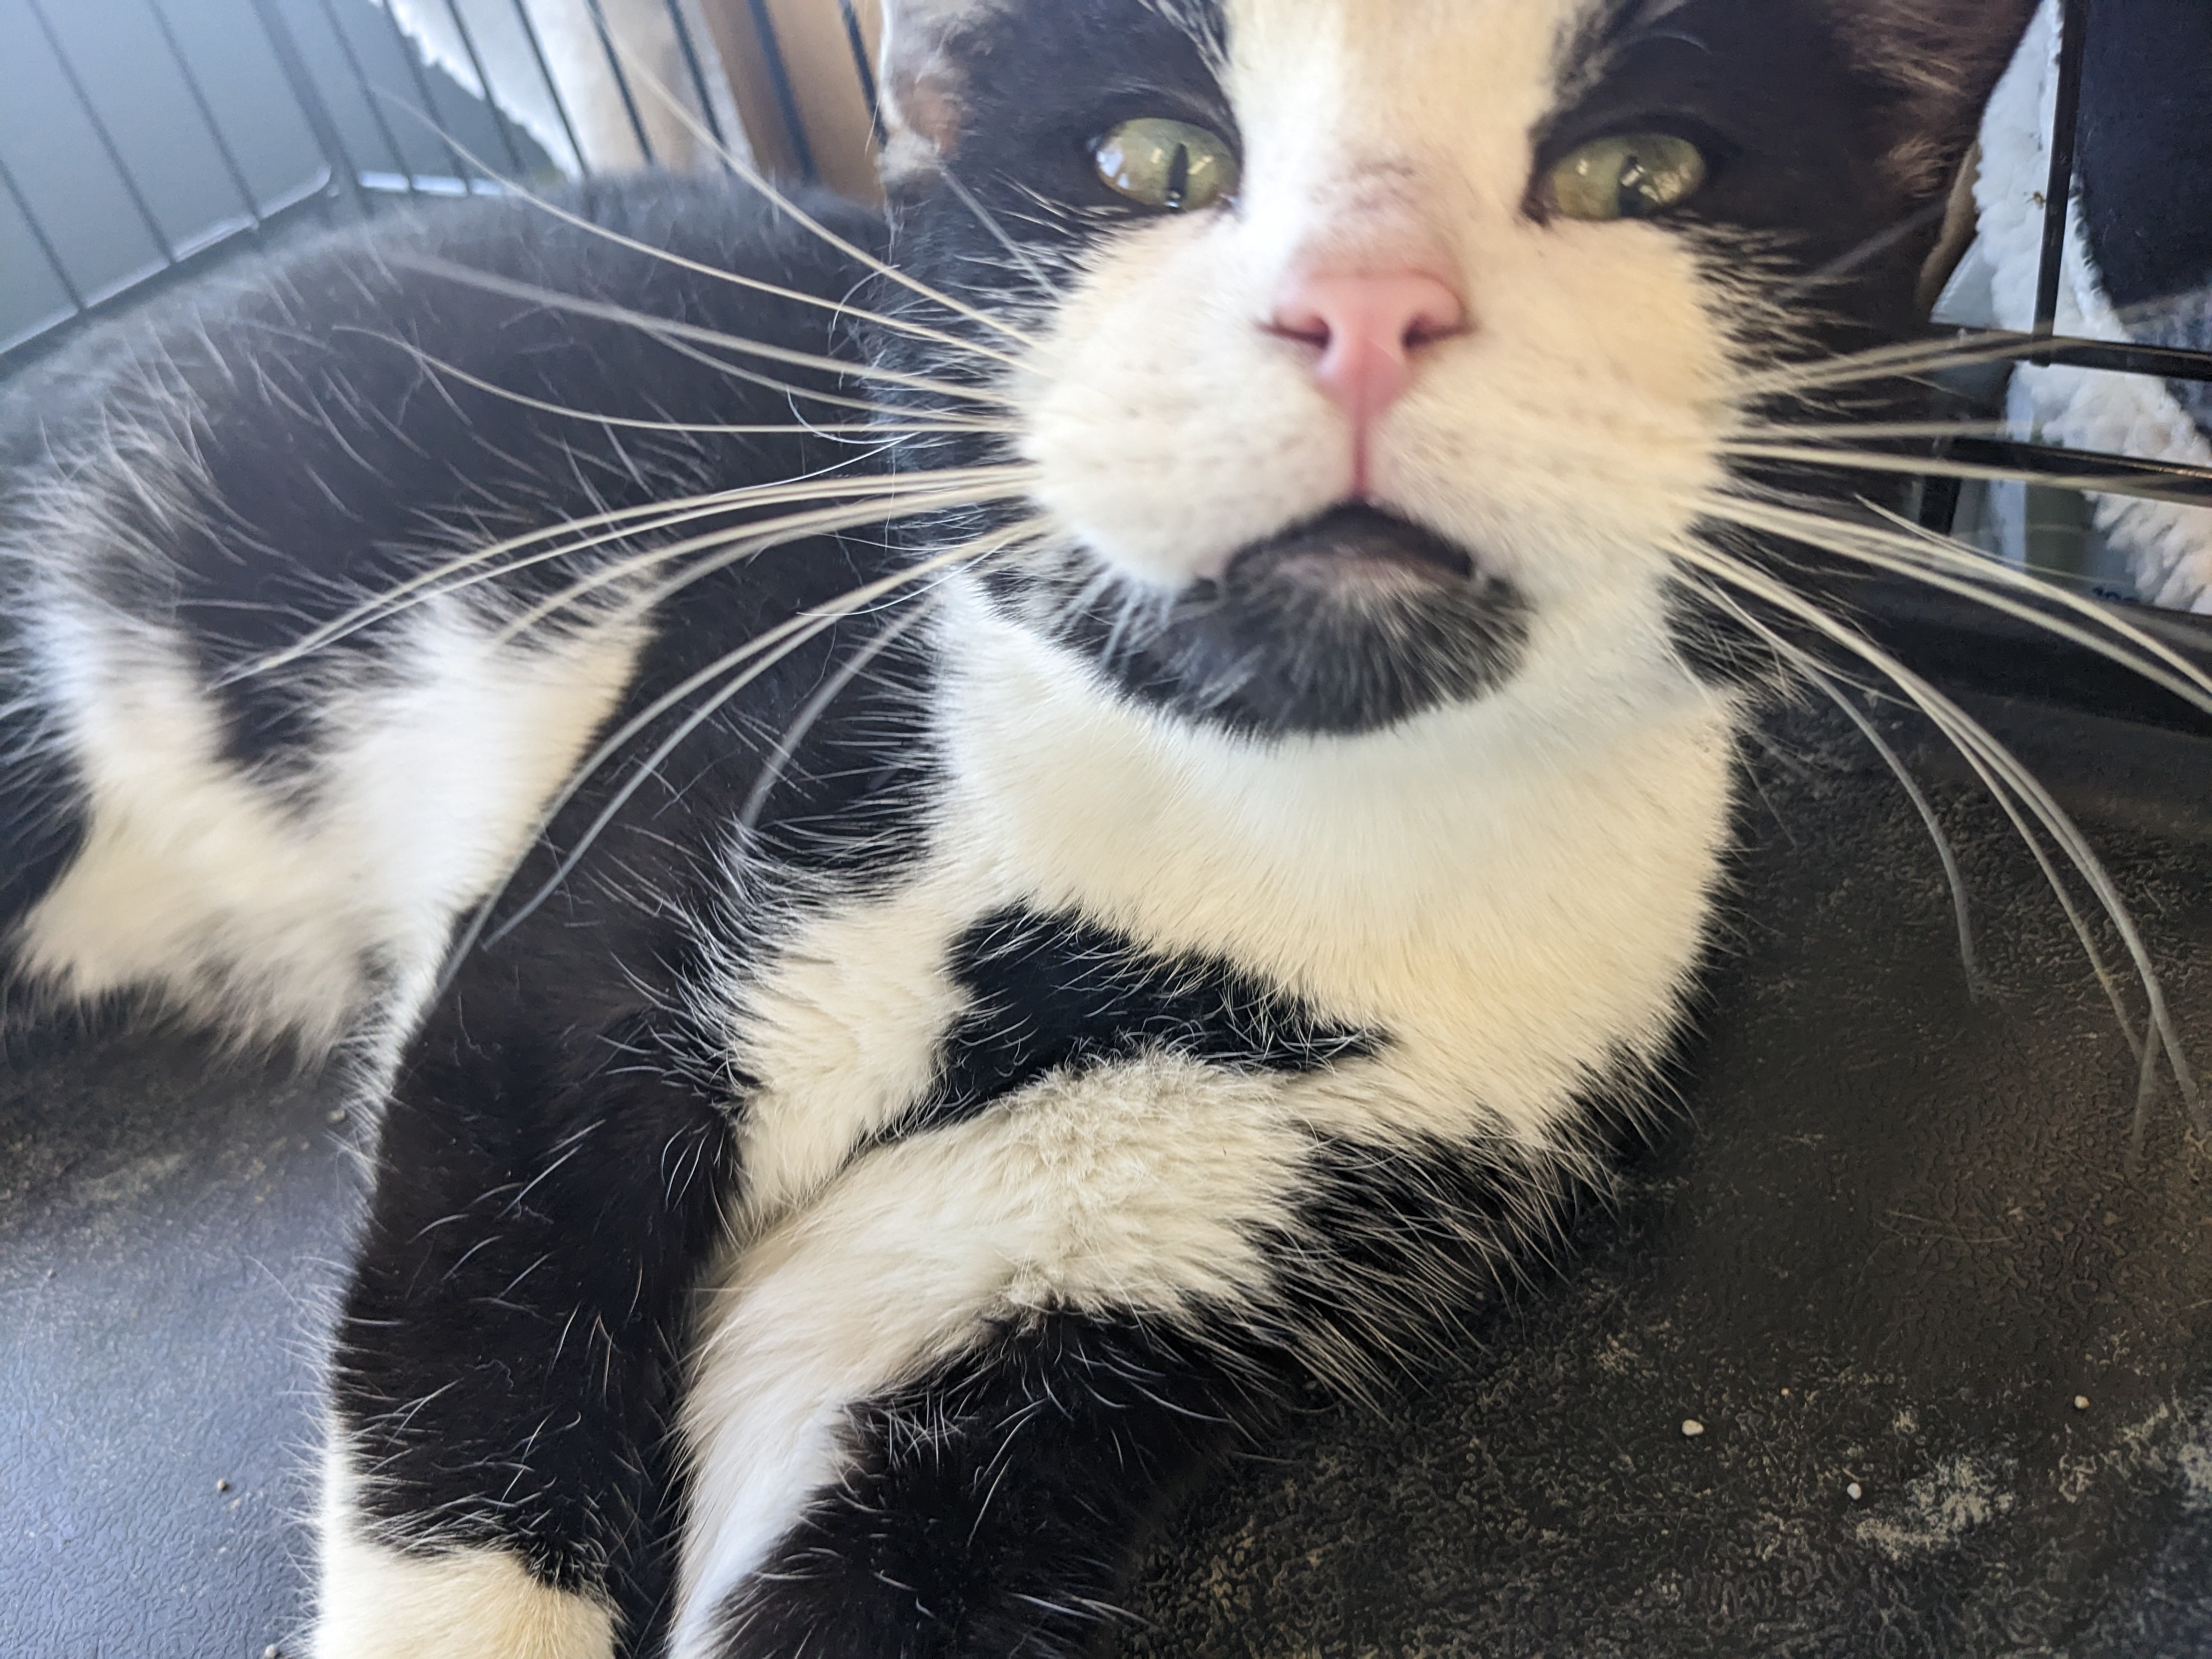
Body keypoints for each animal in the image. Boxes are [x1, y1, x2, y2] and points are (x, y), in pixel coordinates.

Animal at [4, 3, 2176, 1659]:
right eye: (1151, 158)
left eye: (1642, 176)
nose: (1358, 305)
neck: (1200, 869)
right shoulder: (608, 918)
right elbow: (479, 1353)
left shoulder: (1130, 1255)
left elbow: (861, 1483)